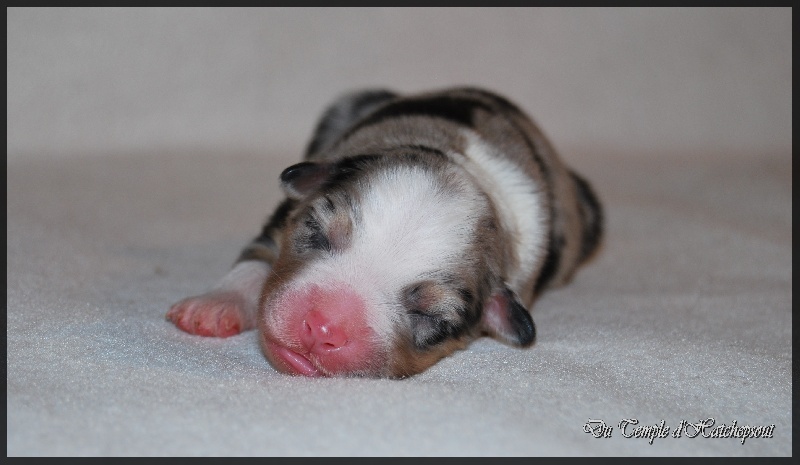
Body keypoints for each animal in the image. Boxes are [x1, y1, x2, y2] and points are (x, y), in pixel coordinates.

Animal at [166, 86, 600, 376]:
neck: (466, 168)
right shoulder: (289, 212)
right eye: (317, 233)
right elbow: (258, 255)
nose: (322, 328)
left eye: (428, 314)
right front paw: (214, 306)